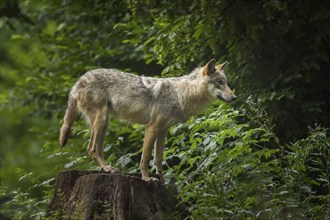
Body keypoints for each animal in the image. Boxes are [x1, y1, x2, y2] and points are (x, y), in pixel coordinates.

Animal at [58, 58, 235, 182]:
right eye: (219, 83)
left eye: (226, 82)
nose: (234, 97)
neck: (180, 95)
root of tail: (78, 81)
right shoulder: (152, 128)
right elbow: (145, 157)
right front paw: (146, 178)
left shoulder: (163, 131)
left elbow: (158, 160)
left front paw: (162, 182)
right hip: (101, 120)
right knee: (91, 149)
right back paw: (108, 169)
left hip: (104, 123)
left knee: (97, 149)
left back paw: (107, 168)